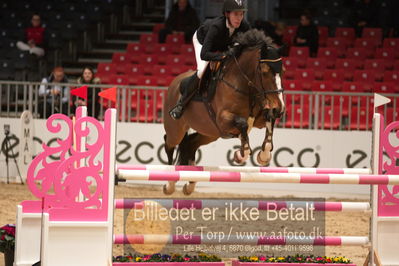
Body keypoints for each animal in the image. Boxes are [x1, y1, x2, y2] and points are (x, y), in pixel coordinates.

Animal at [162, 29, 284, 195]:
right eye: (264, 71)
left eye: (282, 71)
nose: (280, 108)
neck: (245, 85)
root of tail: (174, 83)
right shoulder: (223, 119)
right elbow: (243, 125)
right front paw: (240, 155)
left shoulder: (258, 118)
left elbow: (268, 118)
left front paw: (263, 156)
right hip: (177, 129)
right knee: (169, 144)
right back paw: (170, 183)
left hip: (210, 133)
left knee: (190, 144)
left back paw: (190, 184)